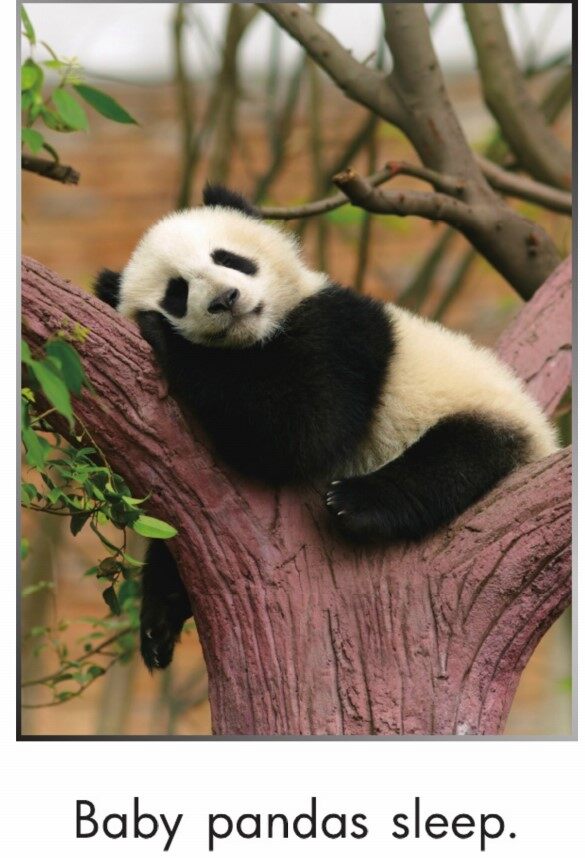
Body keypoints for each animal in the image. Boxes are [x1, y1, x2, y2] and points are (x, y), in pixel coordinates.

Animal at [95, 184, 558, 671]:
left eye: (229, 258)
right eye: (177, 292)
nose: (225, 299)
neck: (256, 338)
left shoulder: (341, 332)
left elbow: (303, 429)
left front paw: (164, 336)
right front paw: (159, 619)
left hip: (482, 411)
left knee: (455, 458)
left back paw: (357, 502)